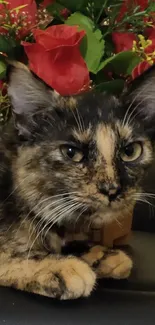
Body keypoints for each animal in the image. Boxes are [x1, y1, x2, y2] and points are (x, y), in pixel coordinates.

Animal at [0, 61, 154, 298]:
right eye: (71, 153)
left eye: (130, 151)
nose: (111, 189)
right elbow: (9, 252)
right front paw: (61, 267)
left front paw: (102, 254)